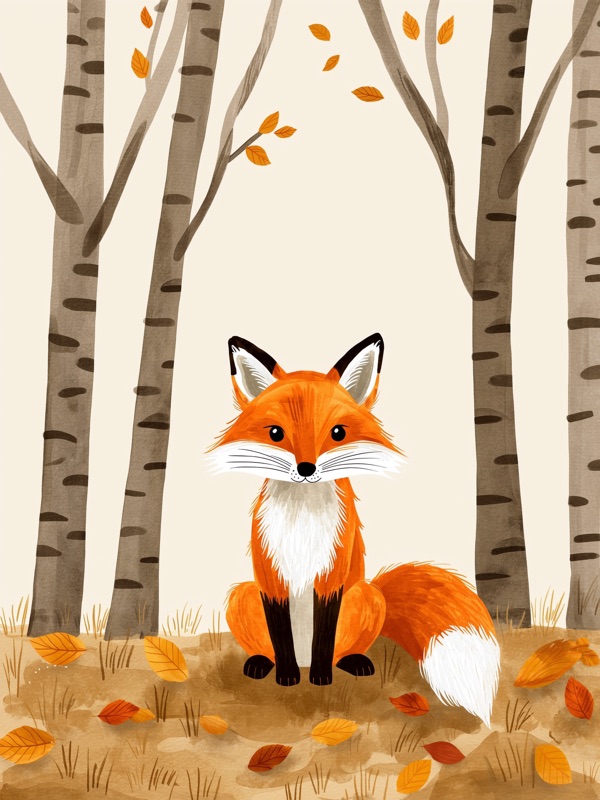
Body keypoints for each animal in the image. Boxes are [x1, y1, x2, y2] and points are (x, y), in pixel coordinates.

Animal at [210, 333, 500, 726]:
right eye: (275, 433)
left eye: (337, 433)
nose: (306, 468)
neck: (303, 521)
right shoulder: (271, 576)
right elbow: (281, 636)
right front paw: (287, 677)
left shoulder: (333, 573)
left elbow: (324, 636)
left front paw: (320, 679)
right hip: (242, 594)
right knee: (268, 647)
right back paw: (261, 663)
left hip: (366, 595)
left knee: (339, 650)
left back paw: (350, 663)